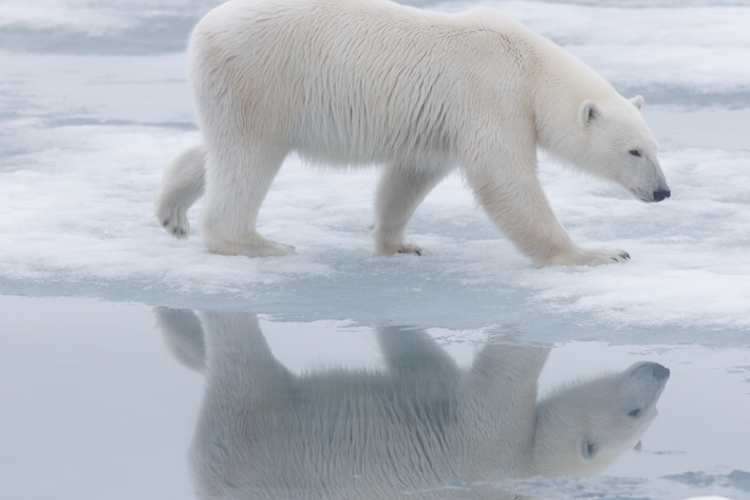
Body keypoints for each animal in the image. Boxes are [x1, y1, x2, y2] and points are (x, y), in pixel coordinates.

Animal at [155, 0, 670, 267]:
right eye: (634, 151)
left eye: (656, 147)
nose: (663, 192)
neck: (529, 65)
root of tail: (204, 27)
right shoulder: (492, 93)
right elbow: (504, 179)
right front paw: (598, 253)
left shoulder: (441, 120)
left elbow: (411, 175)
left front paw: (398, 243)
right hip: (263, 78)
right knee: (250, 155)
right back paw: (254, 243)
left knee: (220, 147)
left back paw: (173, 210)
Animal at [156, 308, 670, 500]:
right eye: (635, 413)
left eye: (649, 415)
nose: (661, 372)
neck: (528, 470)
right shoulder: (492, 451)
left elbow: (433, 372)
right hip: (261, 445)